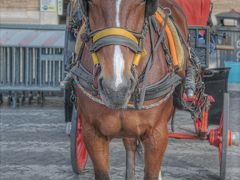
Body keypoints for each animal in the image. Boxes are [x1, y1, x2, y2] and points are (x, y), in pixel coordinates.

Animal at [74, 0, 190, 179]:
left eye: (141, 3)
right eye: (92, 3)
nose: (116, 89)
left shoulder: (157, 134)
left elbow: (152, 171)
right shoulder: (92, 133)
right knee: (130, 145)